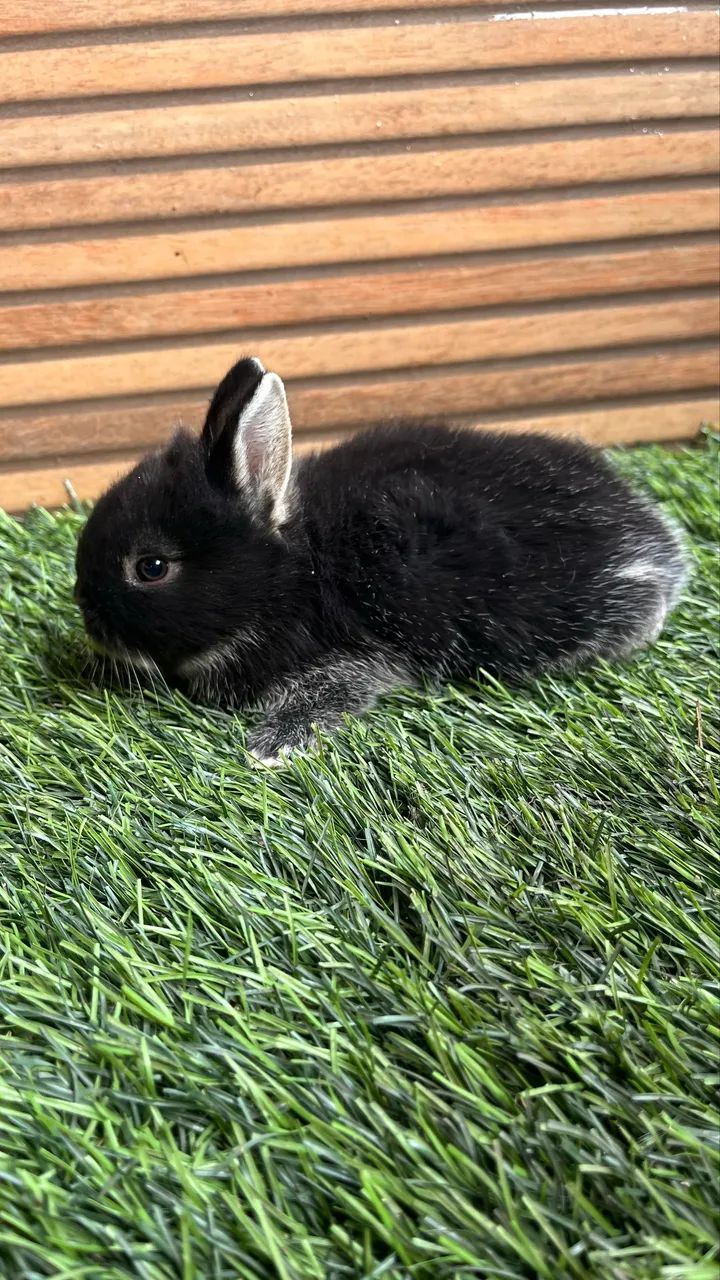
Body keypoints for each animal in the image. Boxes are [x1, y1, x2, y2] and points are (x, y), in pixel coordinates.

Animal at [75, 355, 688, 764]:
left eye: (151, 568)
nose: (87, 613)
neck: (295, 573)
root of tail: (658, 541)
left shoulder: (355, 654)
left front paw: (272, 747)